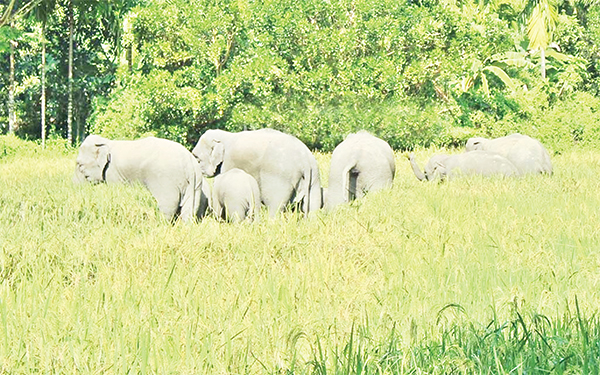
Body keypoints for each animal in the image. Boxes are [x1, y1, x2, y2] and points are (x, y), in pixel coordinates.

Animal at [74, 136, 210, 222]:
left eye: (79, 165)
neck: (106, 142)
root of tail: (189, 162)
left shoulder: (112, 172)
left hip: (166, 182)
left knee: (168, 207)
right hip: (195, 184)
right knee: (189, 210)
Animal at [192, 129, 324, 216]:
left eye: (196, 158)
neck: (225, 136)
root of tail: (305, 160)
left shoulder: (228, 162)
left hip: (280, 177)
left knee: (275, 205)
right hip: (314, 175)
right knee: (312, 205)